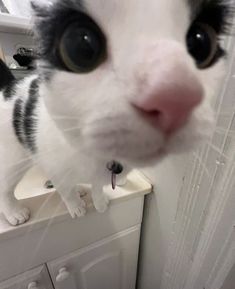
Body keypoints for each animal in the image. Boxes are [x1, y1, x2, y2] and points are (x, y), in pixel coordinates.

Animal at [0, 0, 232, 225]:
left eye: (199, 43)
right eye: (82, 48)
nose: (172, 97)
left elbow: (97, 185)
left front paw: (99, 200)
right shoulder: (54, 167)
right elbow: (65, 190)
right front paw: (75, 206)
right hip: (13, 160)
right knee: (5, 188)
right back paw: (14, 212)